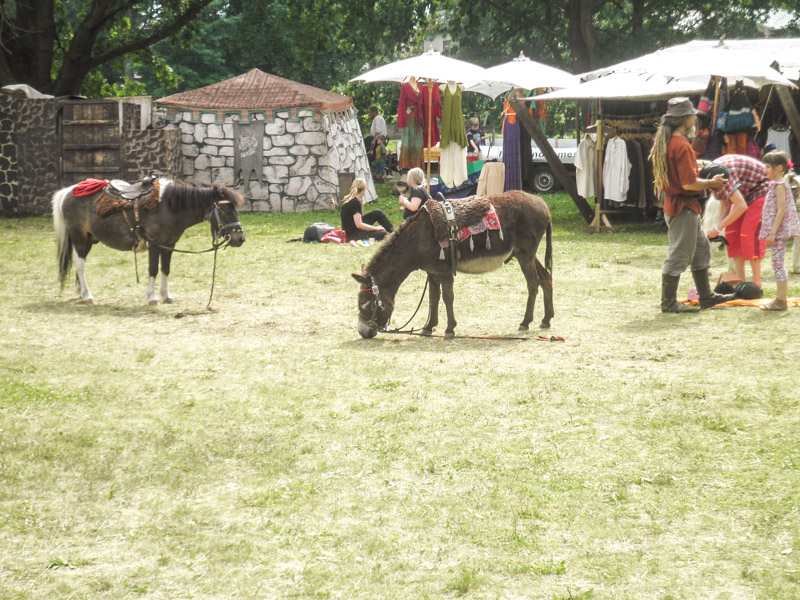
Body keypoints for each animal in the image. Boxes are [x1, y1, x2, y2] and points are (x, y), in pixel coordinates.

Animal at [52, 176, 244, 302]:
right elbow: (153, 269)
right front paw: (152, 297)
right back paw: (88, 295)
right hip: (78, 238)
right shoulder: (154, 244)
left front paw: (166, 296)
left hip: (88, 240)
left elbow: (165, 269)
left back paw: (80, 292)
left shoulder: (168, 245)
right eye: (225, 211)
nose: (240, 238)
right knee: (80, 264)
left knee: (80, 262)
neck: (169, 207)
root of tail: (67, 192)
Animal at [354, 191, 552, 338]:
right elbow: (433, 298)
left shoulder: (444, 270)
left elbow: (447, 297)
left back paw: (525, 322)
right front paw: (428, 327)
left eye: (366, 304)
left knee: (533, 284)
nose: (363, 332)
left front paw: (450, 329)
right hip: (524, 253)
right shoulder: (432, 272)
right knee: (546, 278)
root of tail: (542, 204)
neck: (418, 238)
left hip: (525, 254)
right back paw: (546, 319)